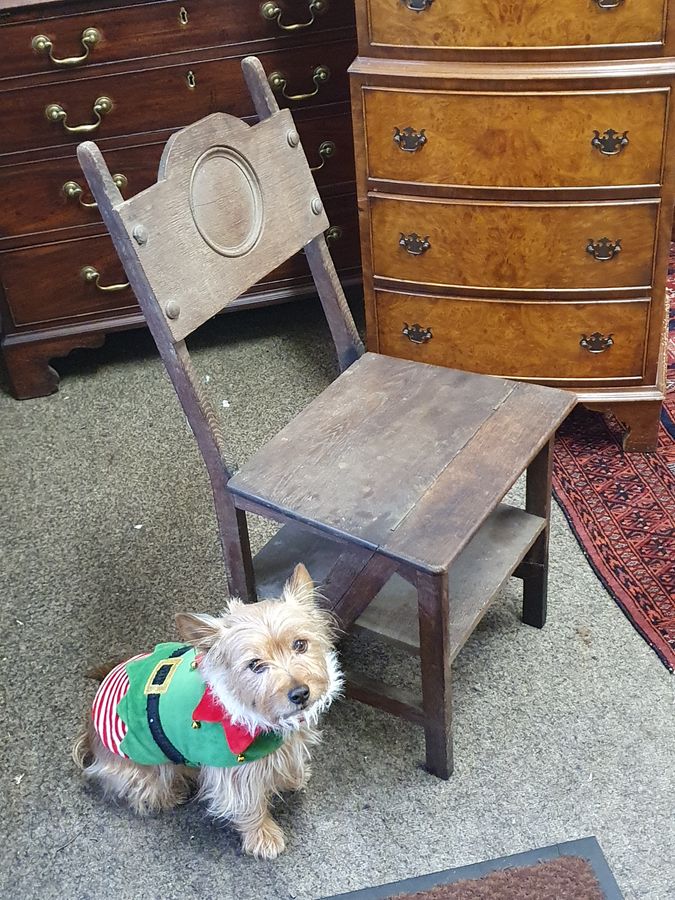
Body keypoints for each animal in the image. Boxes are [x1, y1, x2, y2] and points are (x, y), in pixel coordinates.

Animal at [74, 564, 344, 856]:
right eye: (255, 665)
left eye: (300, 644)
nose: (300, 693)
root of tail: (90, 731)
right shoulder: (234, 773)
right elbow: (249, 804)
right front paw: (263, 836)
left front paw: (291, 779)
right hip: (143, 767)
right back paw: (173, 793)